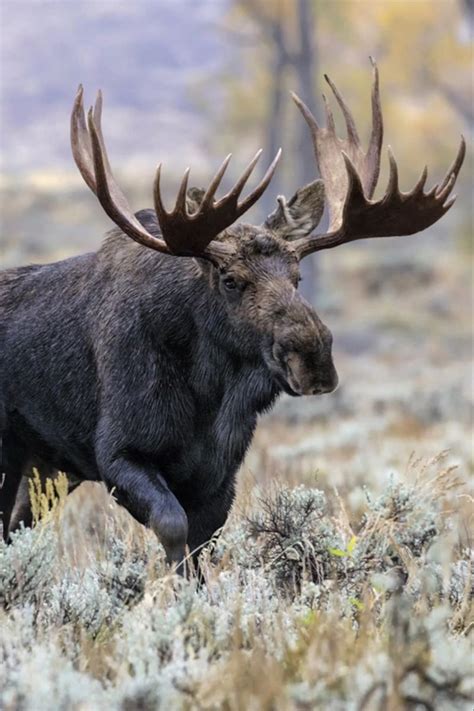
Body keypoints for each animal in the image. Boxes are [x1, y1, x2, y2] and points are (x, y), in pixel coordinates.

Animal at [0, 61, 464, 574]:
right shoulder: (118, 452)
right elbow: (174, 530)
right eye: (230, 280)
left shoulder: (220, 473)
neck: (207, 395)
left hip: (47, 467)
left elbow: (204, 544)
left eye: (298, 276)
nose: (314, 359)